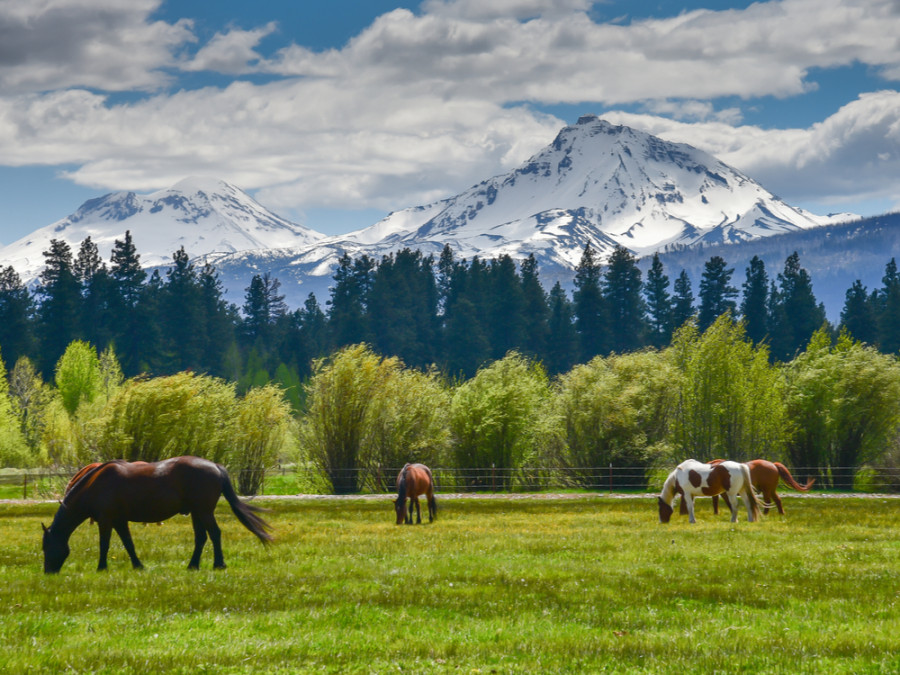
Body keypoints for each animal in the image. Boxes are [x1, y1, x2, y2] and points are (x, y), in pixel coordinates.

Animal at [42, 456, 272, 572]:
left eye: (46, 547)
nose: (48, 572)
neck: (95, 484)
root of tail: (215, 466)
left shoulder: (106, 520)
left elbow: (104, 545)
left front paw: (101, 567)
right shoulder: (119, 520)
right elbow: (128, 543)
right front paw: (138, 565)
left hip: (204, 511)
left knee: (215, 534)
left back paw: (218, 564)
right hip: (196, 513)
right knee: (201, 538)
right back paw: (193, 565)